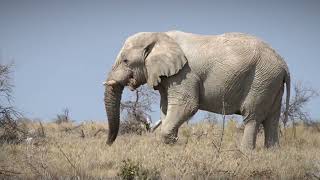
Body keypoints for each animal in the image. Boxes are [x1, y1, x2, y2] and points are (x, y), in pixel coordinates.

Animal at [104, 30, 290, 149]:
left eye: (126, 61)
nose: (108, 144)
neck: (158, 35)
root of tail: (284, 65)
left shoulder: (185, 73)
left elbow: (187, 105)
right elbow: (165, 108)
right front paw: (170, 149)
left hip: (261, 80)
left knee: (252, 117)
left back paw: (245, 153)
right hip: (271, 83)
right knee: (271, 119)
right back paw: (272, 152)